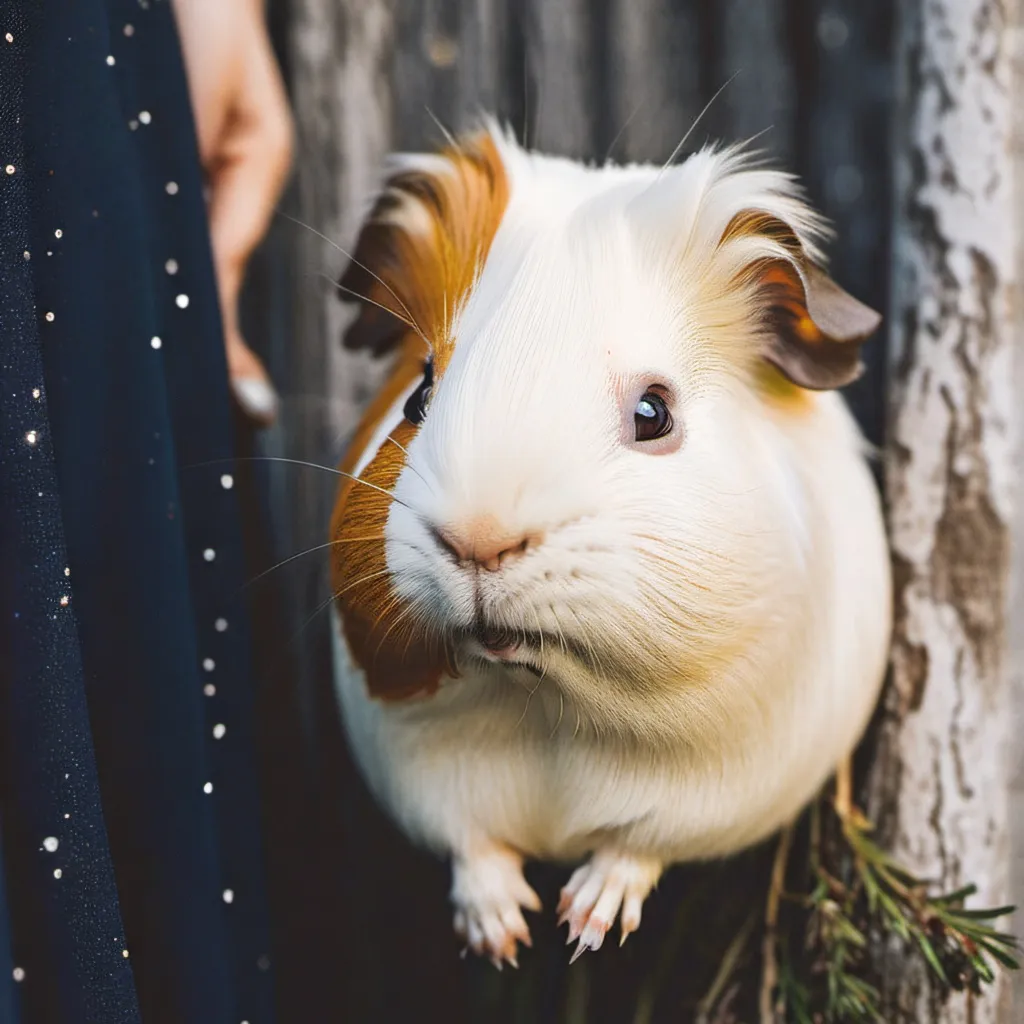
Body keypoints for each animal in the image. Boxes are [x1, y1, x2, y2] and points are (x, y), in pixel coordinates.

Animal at [328, 120, 891, 965]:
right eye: (419, 394)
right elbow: (473, 850)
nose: (479, 541)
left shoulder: (705, 797)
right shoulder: (422, 778)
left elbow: (636, 848)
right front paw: (505, 937)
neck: (544, 706)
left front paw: (585, 927)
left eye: (655, 413)